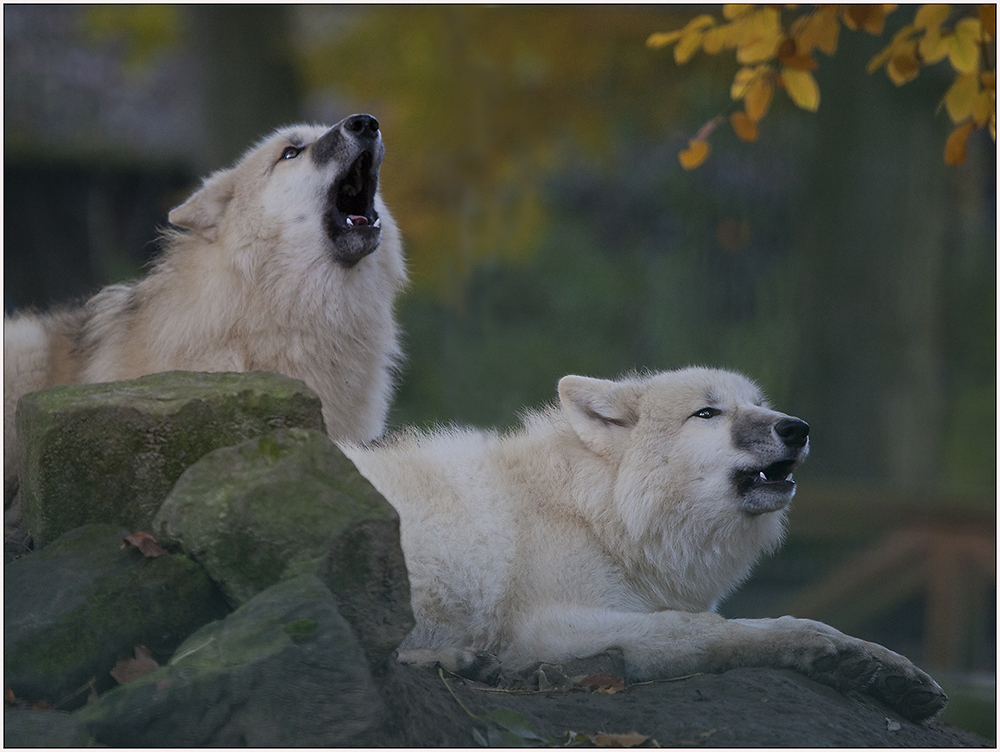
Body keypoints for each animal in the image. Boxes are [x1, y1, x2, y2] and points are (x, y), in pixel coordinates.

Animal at [340, 368, 948, 724]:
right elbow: (711, 631)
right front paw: (830, 654)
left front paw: (890, 670)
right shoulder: (550, 625)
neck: (603, 511)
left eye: (759, 405)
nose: (796, 427)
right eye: (707, 413)